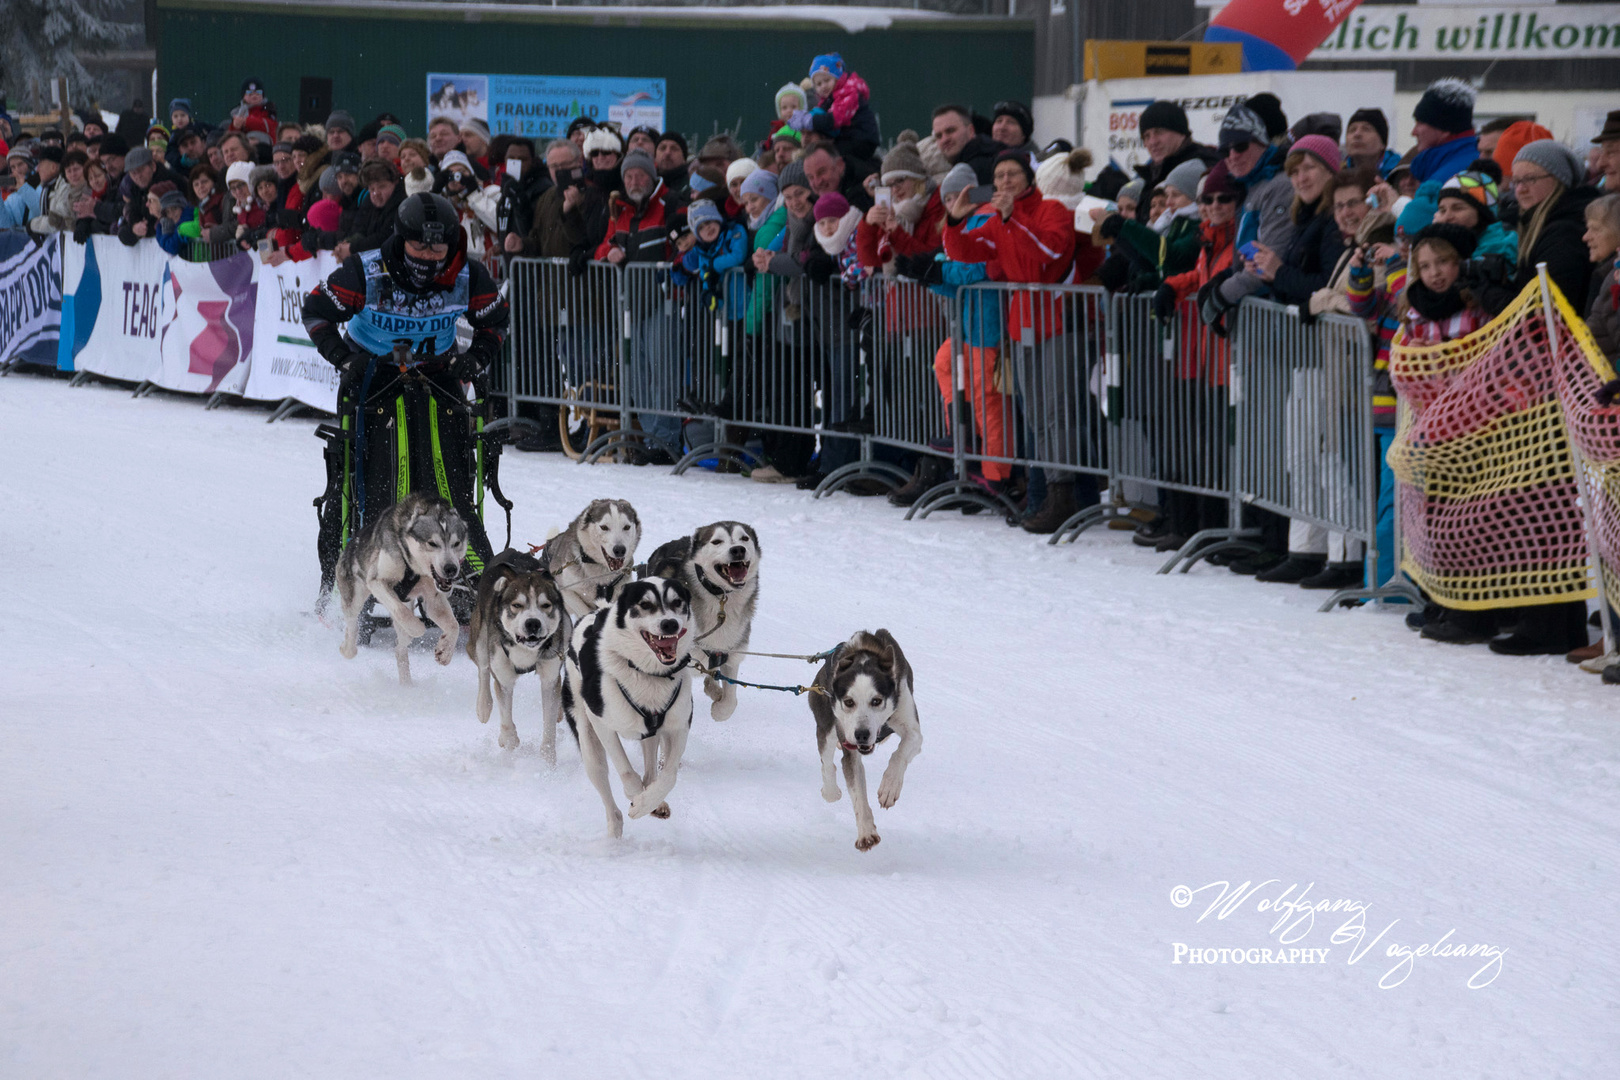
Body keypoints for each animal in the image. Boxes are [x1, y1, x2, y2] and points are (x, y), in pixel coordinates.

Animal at [335, 492, 469, 683]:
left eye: (456, 543)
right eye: (432, 543)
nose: (451, 568)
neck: (414, 569)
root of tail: (351, 543)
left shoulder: (434, 599)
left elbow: (454, 625)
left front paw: (445, 651)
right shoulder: (377, 581)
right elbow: (402, 613)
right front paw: (418, 628)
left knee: (400, 649)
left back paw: (407, 684)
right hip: (354, 597)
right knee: (353, 624)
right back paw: (347, 649)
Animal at [466, 553, 573, 764]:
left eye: (545, 605)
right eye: (517, 605)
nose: (533, 623)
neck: (526, 653)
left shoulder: (549, 676)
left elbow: (549, 724)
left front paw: (548, 761)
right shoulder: (503, 676)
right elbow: (506, 719)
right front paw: (509, 742)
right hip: (480, 639)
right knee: (483, 669)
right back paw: (483, 706)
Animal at [563, 579, 696, 841]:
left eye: (678, 602)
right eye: (645, 604)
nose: (670, 623)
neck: (647, 672)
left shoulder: (679, 725)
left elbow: (668, 776)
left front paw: (649, 802)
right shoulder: (601, 722)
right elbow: (627, 773)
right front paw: (637, 799)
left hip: (651, 734)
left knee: (650, 772)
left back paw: (656, 802)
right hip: (588, 739)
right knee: (604, 783)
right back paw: (615, 827)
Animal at [644, 521, 758, 722]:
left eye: (745, 538)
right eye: (717, 541)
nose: (738, 549)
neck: (721, 599)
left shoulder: (731, 654)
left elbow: (730, 701)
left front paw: (719, 707)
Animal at [810, 634, 926, 854]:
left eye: (876, 701)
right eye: (849, 702)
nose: (862, 735)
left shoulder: (912, 730)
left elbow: (900, 754)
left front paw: (889, 787)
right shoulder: (849, 746)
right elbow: (857, 792)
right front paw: (866, 833)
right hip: (826, 723)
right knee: (826, 761)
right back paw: (830, 791)